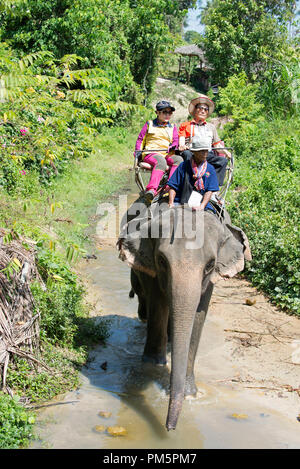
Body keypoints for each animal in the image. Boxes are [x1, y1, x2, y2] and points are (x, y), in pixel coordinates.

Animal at [117, 199, 251, 430]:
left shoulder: (210, 280)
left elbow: (198, 315)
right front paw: (152, 366)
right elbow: (158, 305)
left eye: (210, 265)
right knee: (143, 297)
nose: (170, 428)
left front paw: (190, 394)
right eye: (162, 260)